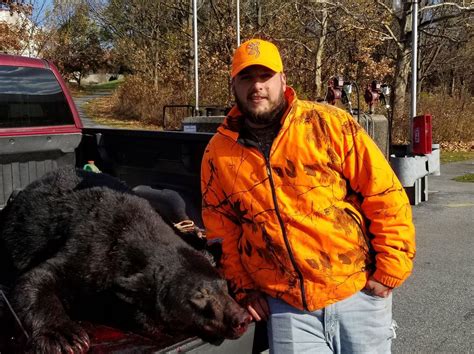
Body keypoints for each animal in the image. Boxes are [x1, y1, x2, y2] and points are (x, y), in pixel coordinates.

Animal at [0, 167, 252, 352]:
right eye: (199, 295)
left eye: (223, 286)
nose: (241, 319)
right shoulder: (90, 249)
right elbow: (36, 278)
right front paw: (65, 336)